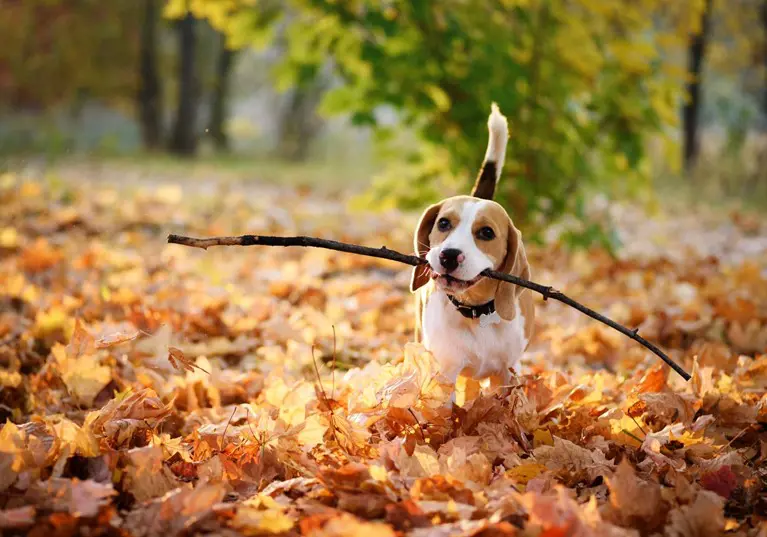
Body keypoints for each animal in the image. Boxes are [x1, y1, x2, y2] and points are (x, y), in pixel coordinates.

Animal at [412, 102, 536, 392]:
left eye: (486, 233)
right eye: (443, 223)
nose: (448, 256)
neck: (476, 313)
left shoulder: (508, 372)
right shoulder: (445, 371)